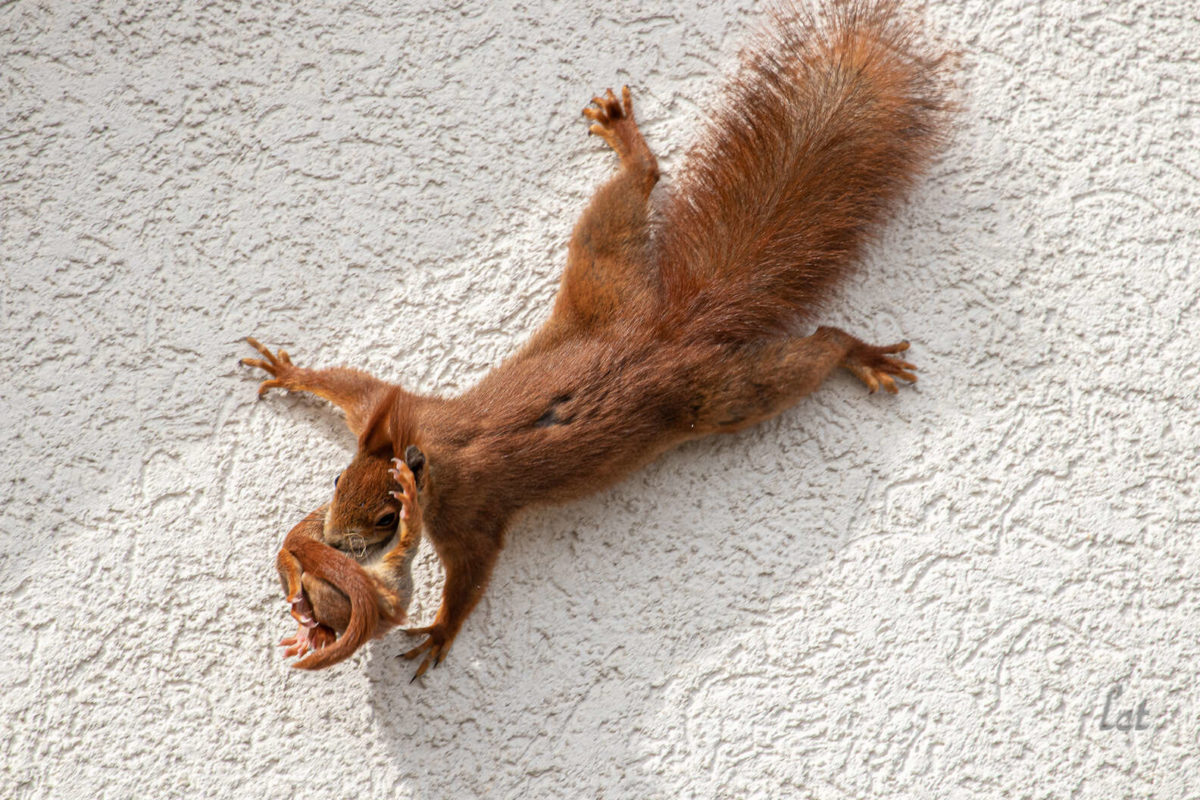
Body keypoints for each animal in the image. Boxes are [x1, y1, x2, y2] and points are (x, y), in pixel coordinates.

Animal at [241, 0, 945, 681]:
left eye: (389, 518)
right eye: (337, 478)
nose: (333, 541)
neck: (431, 449)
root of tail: (667, 328)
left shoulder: (471, 511)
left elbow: (472, 572)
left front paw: (440, 632)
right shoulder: (395, 405)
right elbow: (349, 385)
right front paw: (287, 370)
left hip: (721, 395)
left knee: (807, 355)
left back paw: (858, 352)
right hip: (604, 270)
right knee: (635, 190)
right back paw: (627, 142)